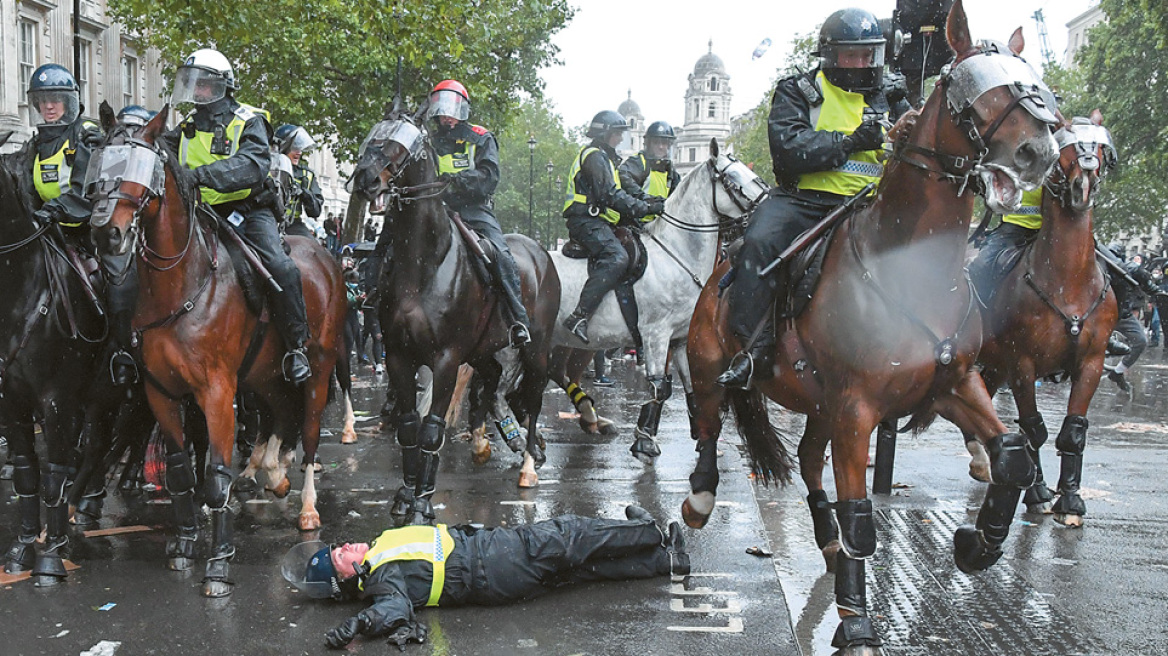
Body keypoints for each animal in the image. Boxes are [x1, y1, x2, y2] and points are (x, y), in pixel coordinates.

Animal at [88, 104, 350, 595]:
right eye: (99, 163)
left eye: (141, 167)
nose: (105, 234)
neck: (181, 285)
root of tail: (325, 257)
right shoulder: (161, 393)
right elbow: (180, 473)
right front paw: (185, 544)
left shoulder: (216, 393)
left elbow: (215, 476)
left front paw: (219, 564)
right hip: (264, 375)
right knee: (278, 414)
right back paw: (272, 473)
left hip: (320, 368)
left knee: (307, 430)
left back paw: (306, 505)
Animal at [345, 106, 560, 525]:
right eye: (371, 136)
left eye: (402, 143)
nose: (365, 179)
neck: (423, 263)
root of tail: (541, 252)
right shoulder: (399, 356)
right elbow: (409, 429)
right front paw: (405, 494)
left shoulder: (444, 358)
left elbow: (432, 429)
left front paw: (424, 501)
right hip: (481, 350)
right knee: (491, 381)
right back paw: (480, 443)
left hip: (536, 349)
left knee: (534, 397)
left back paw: (528, 463)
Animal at [551, 138, 770, 459]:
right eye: (732, 178)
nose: (770, 203)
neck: (676, 255)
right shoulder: (655, 335)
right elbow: (660, 387)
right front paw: (644, 441)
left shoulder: (680, 338)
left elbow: (691, 384)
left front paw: (701, 433)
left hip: (571, 344)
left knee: (559, 372)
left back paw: (592, 417)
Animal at [682, 2, 1060, 648]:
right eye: (970, 86)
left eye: (1029, 74)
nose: (1042, 149)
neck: (908, 264)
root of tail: (723, 265)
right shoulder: (858, 410)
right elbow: (861, 516)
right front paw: (856, 621)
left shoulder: (950, 384)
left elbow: (1010, 450)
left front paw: (977, 544)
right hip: (713, 363)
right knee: (708, 423)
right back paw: (702, 501)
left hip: (818, 404)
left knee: (808, 459)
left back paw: (827, 544)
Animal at [967, 108, 1121, 525]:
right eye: (1065, 149)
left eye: (1099, 146)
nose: (1083, 183)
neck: (1068, 280)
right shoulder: (1023, 364)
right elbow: (1033, 429)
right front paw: (1036, 492)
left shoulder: (1091, 363)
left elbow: (1073, 431)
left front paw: (1070, 499)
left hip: (996, 365)